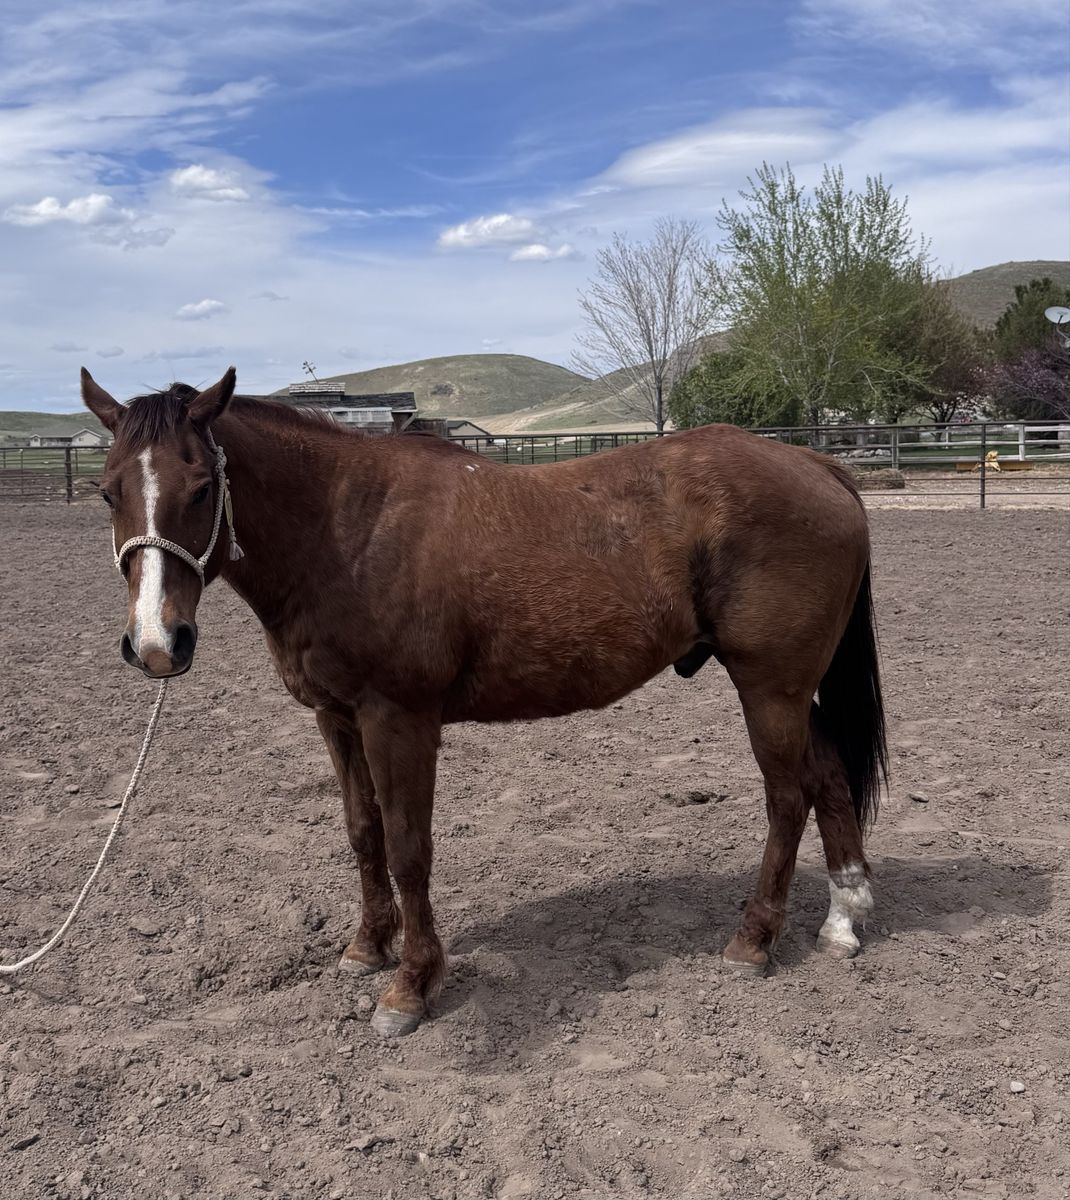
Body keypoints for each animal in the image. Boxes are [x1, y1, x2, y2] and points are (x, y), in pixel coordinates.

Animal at [81, 366, 886, 1037]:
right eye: (108, 491)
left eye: (200, 488)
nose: (158, 642)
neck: (347, 529)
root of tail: (817, 467)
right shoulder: (336, 718)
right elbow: (364, 833)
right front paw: (368, 946)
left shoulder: (398, 721)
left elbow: (409, 848)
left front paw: (410, 985)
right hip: (789, 690)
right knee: (827, 777)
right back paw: (844, 917)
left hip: (770, 687)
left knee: (787, 798)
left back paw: (754, 939)